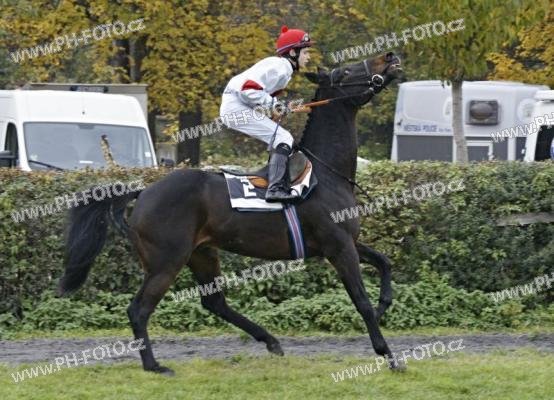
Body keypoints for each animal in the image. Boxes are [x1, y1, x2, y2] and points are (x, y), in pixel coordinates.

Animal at [59, 52, 403, 375]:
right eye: (345, 72)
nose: (390, 57)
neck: (325, 173)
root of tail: (142, 192)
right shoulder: (338, 246)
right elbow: (361, 302)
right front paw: (387, 354)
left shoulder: (346, 240)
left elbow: (385, 263)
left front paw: (385, 305)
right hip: (166, 261)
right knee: (139, 309)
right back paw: (154, 365)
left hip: (201, 253)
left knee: (214, 301)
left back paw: (270, 340)